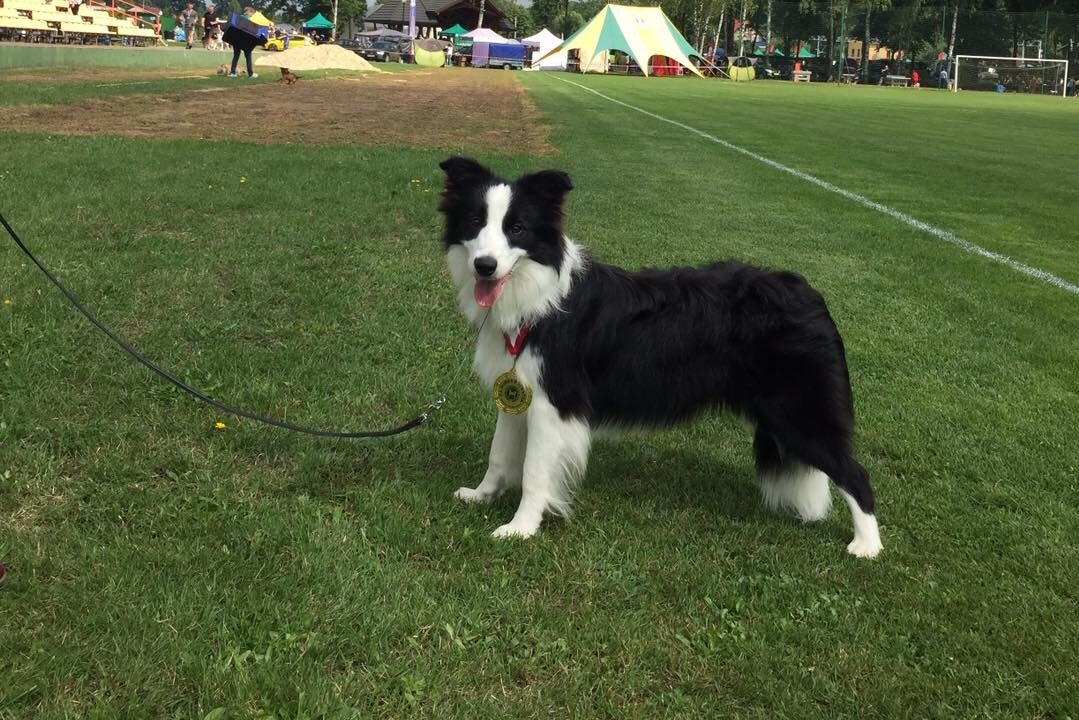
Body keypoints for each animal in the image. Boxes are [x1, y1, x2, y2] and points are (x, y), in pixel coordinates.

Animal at [438, 157, 883, 558]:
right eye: (475, 223)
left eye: (517, 228)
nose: (485, 266)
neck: (537, 297)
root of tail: (810, 294)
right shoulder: (517, 391)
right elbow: (499, 454)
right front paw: (480, 495)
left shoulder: (554, 402)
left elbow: (534, 472)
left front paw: (520, 529)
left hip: (798, 411)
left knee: (856, 475)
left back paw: (866, 546)